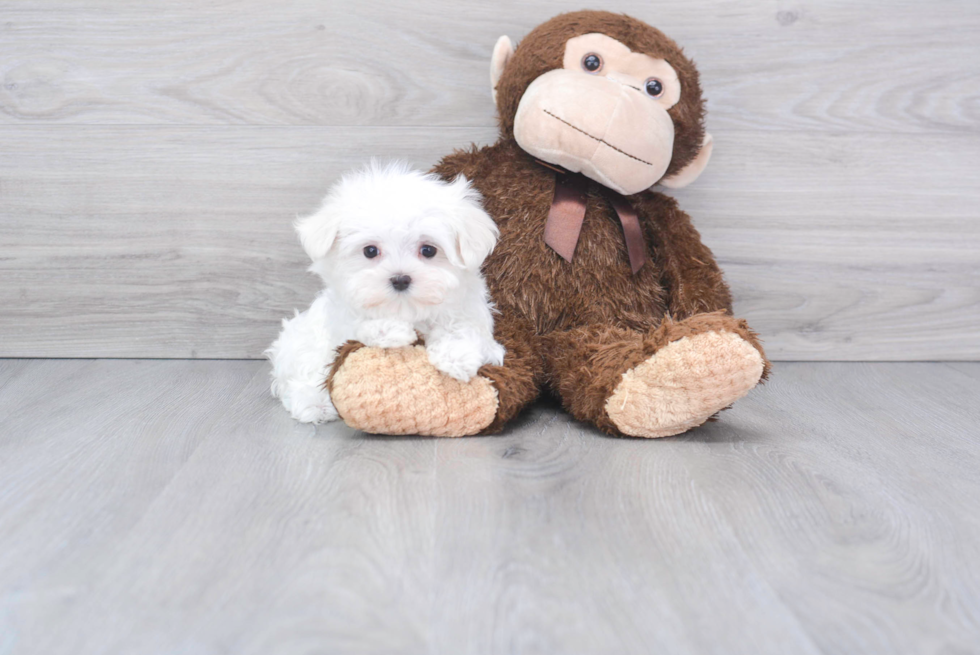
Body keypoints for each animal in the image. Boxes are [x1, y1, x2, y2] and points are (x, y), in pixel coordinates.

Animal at [266, 161, 506, 422]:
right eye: (370, 251)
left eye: (429, 250)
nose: (400, 279)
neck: (407, 312)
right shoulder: (341, 320)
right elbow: (357, 326)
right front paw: (388, 330)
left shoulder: (473, 319)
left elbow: (465, 330)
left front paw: (456, 356)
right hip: (300, 342)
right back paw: (314, 402)